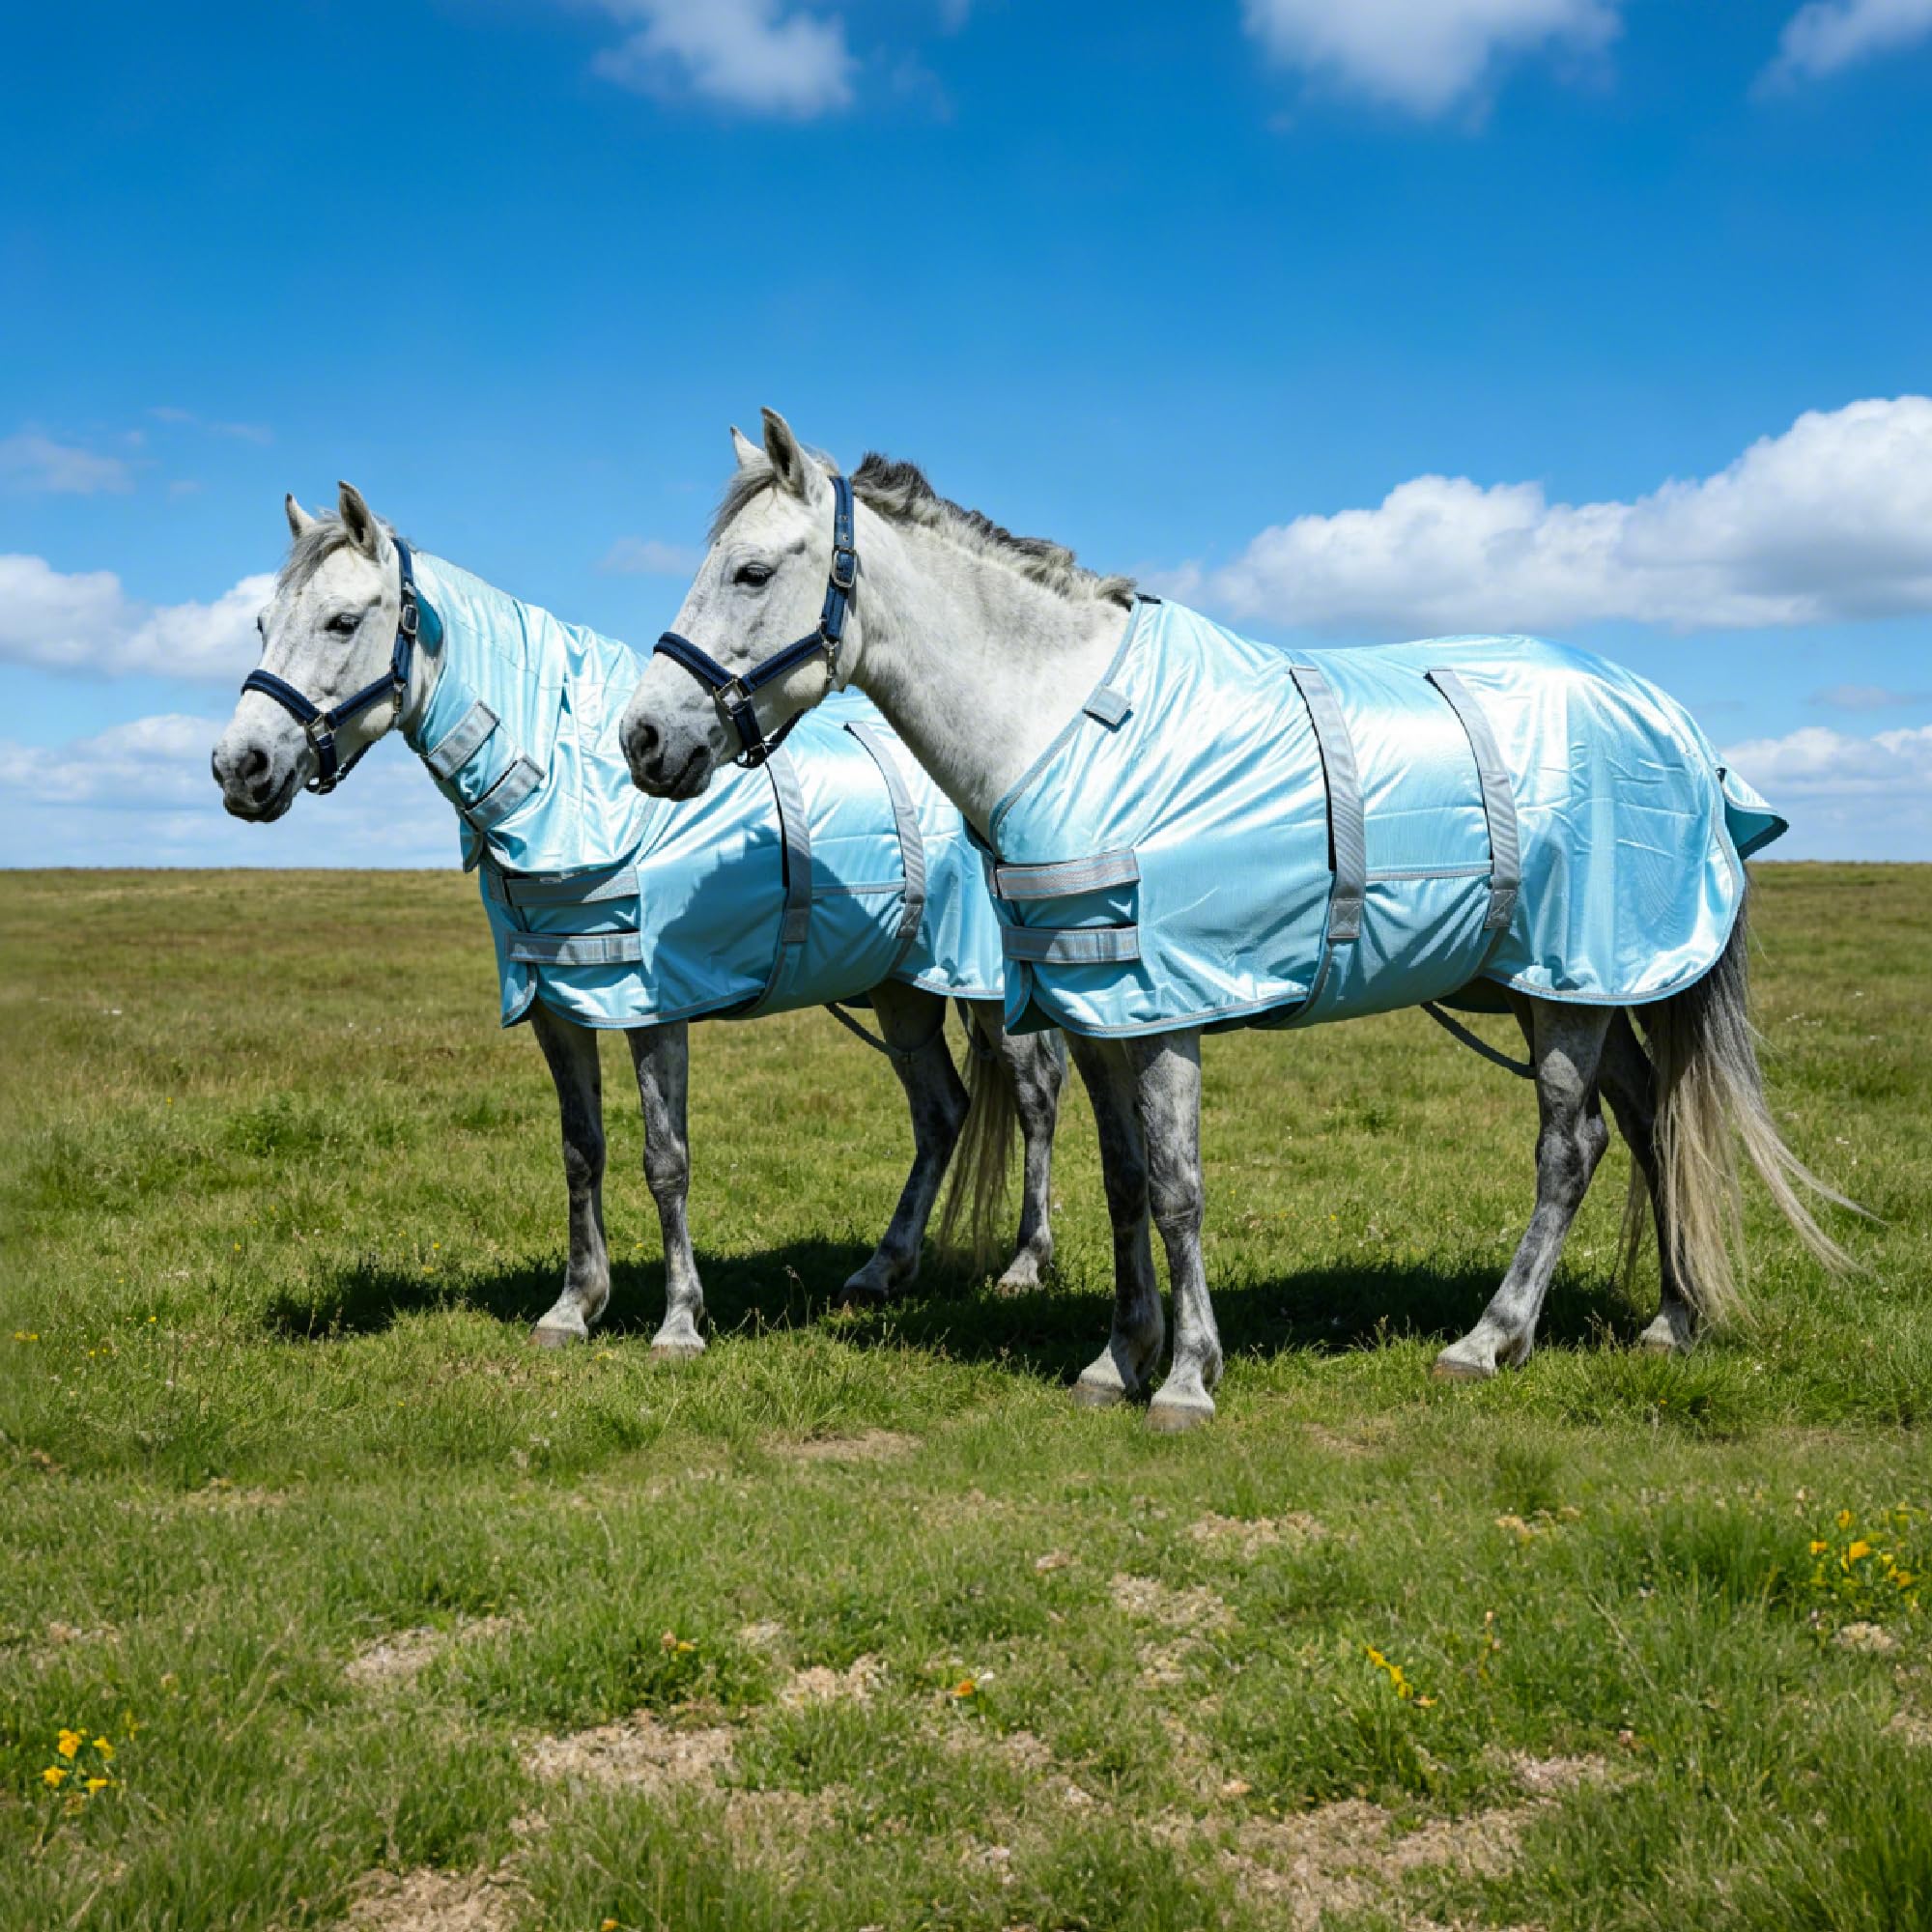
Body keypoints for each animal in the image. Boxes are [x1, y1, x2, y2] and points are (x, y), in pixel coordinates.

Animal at [211, 481, 1066, 1358]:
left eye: (343, 622)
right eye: (262, 623)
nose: (239, 767)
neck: (568, 780)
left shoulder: (655, 1006)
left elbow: (666, 1158)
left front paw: (680, 1320)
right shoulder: (558, 1004)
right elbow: (580, 1150)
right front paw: (574, 1305)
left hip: (987, 989)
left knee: (1035, 1096)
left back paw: (1025, 1263)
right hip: (902, 989)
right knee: (941, 1113)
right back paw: (880, 1271)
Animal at [618, 411, 1857, 1428]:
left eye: (750, 569)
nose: (643, 738)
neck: (1063, 721)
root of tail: (1674, 726)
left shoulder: (1162, 1011)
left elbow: (1177, 1187)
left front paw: (1184, 1376)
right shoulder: (1098, 1010)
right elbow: (1126, 1183)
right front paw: (1115, 1359)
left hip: (1570, 990)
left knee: (1574, 1146)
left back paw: (1488, 1338)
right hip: (1564, 982)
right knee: (1651, 1123)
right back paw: (1670, 1319)